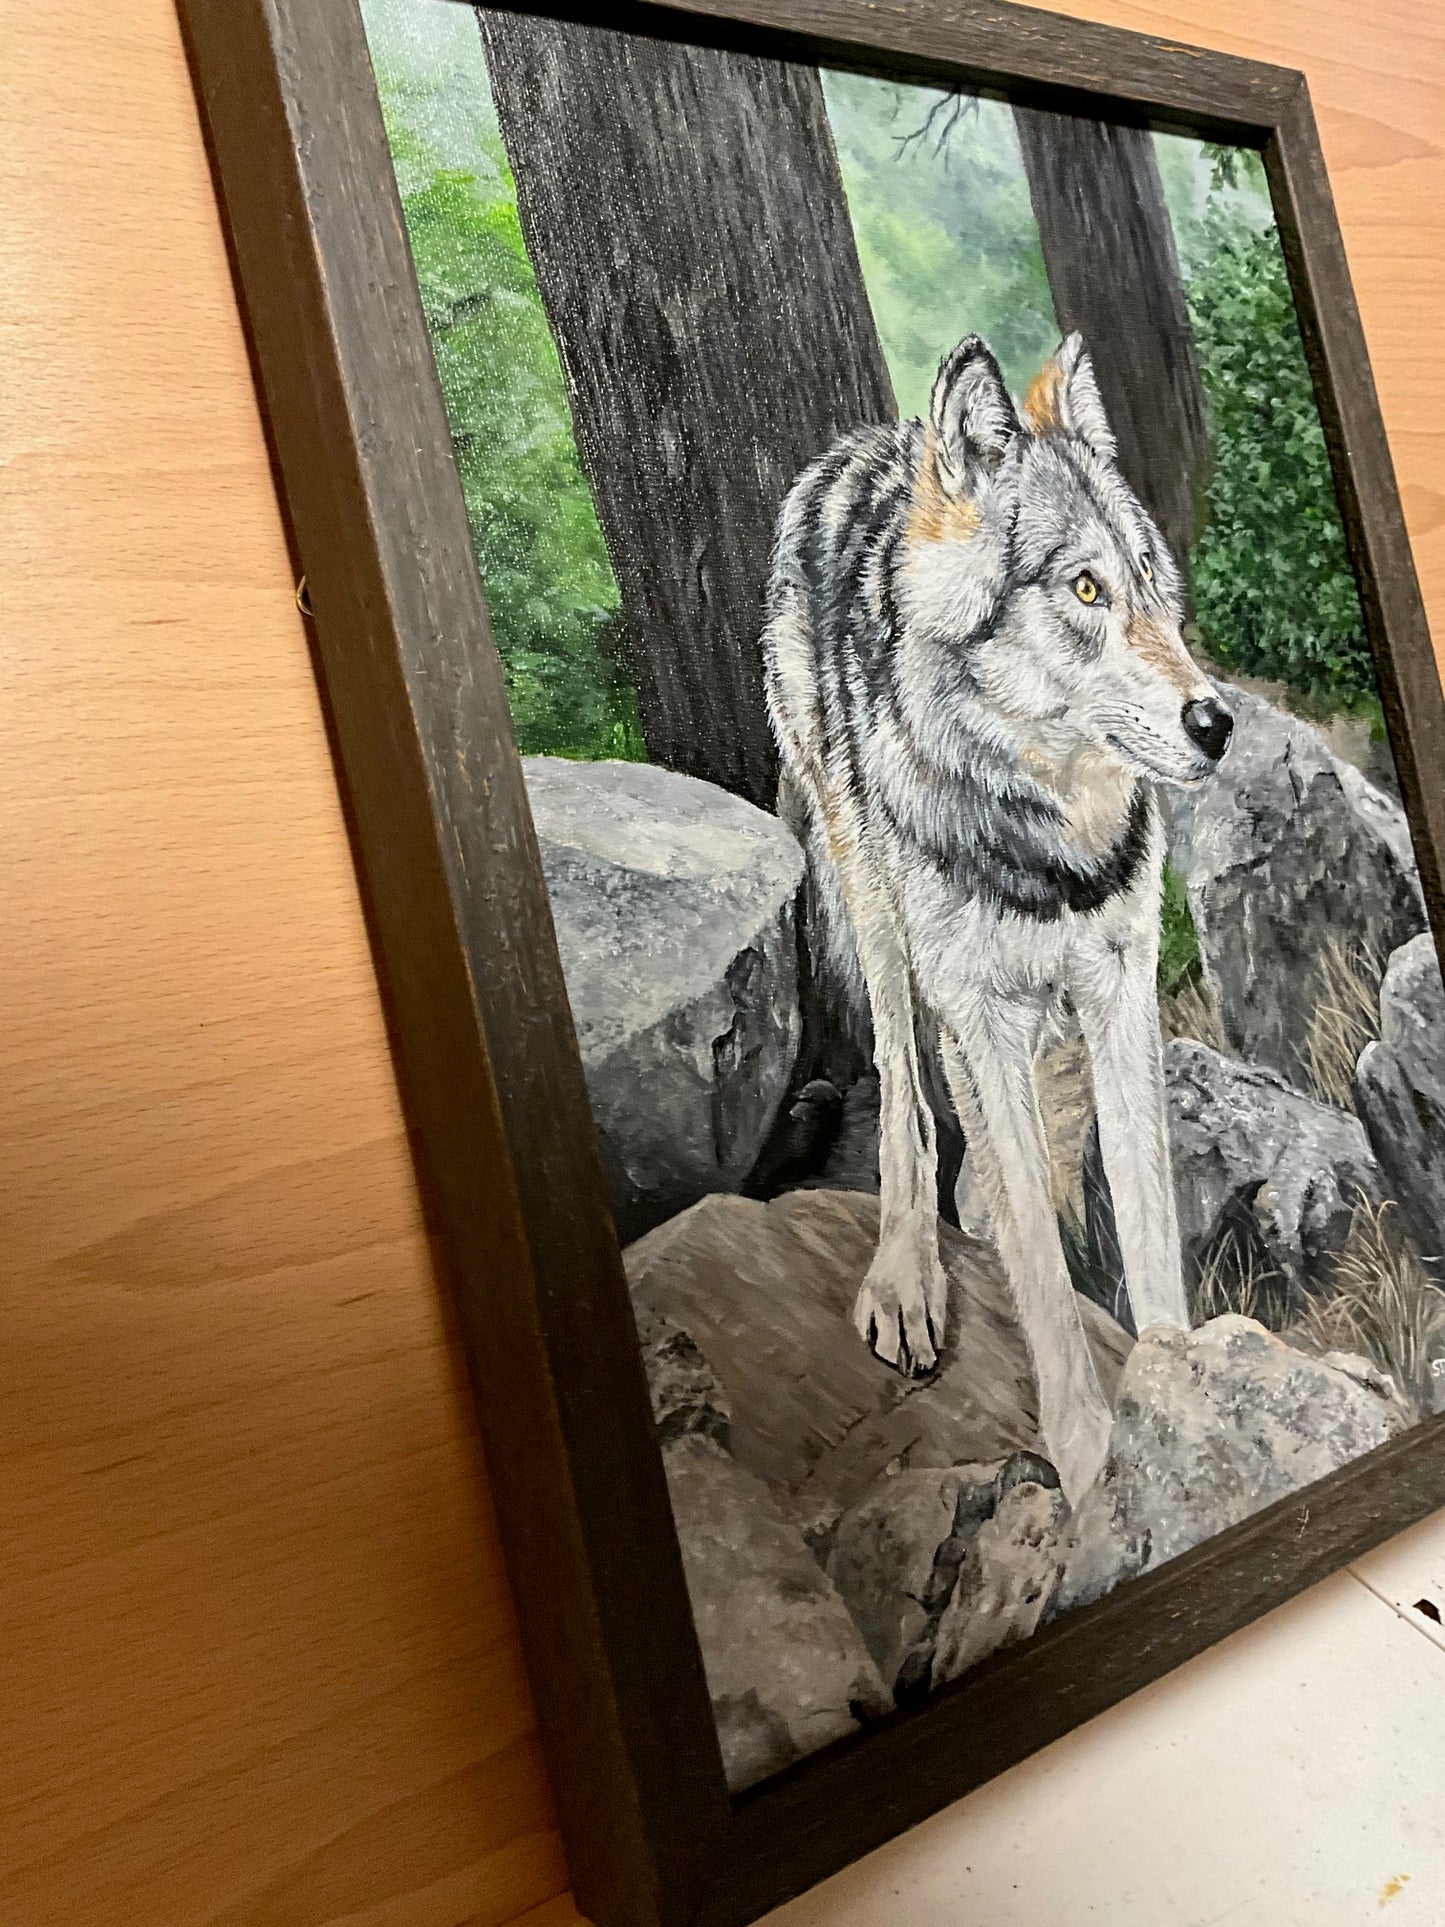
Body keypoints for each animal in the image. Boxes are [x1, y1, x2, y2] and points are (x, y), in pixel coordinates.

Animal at [762, 332, 1234, 1501]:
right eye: (1084, 588)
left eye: (1153, 586)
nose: (1218, 722)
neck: (1046, 842)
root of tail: (868, 441)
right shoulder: (974, 1002)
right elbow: (1039, 1265)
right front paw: (1090, 1452)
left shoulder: (1117, 986)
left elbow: (1143, 1213)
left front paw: (1181, 1384)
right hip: (871, 905)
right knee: (904, 1076)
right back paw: (906, 1270)